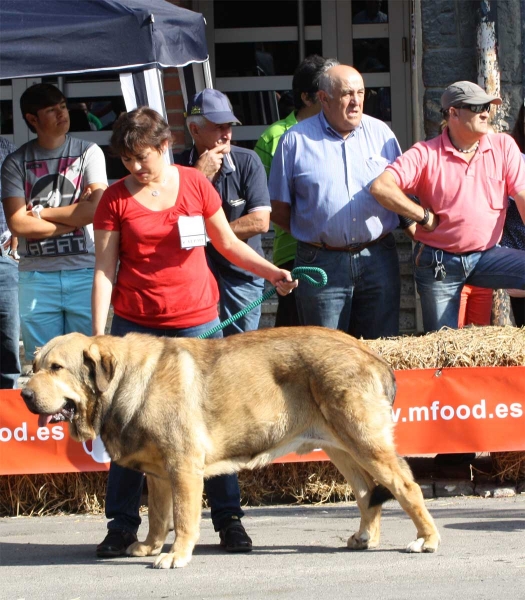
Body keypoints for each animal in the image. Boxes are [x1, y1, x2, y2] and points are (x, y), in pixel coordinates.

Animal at [21, 328, 438, 568]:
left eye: (57, 368)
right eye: (34, 365)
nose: (24, 395)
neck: (124, 381)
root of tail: (373, 354)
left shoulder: (183, 467)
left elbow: (183, 517)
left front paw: (176, 555)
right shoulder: (158, 474)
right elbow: (157, 516)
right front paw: (151, 547)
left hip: (365, 441)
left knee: (405, 486)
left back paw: (427, 540)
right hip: (341, 446)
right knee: (367, 492)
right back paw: (364, 537)